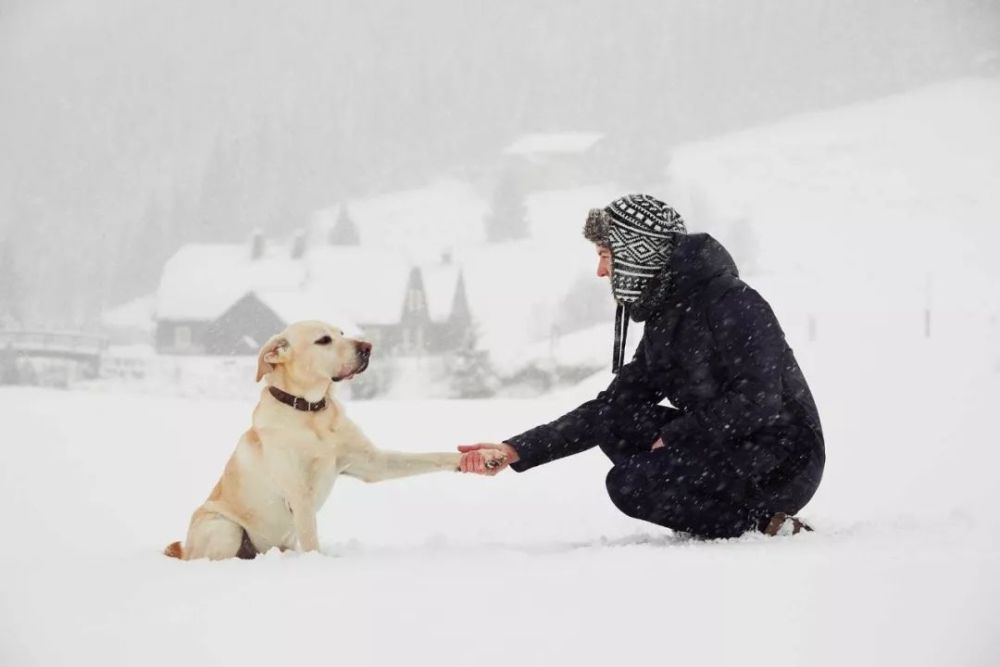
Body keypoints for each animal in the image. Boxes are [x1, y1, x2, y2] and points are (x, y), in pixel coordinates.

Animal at [164, 320, 496, 560]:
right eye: (324, 340)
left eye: (342, 333)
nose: (368, 346)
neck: (312, 411)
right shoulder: (299, 494)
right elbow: (312, 538)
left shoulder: (373, 463)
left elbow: (430, 456)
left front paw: (483, 456)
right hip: (224, 527)